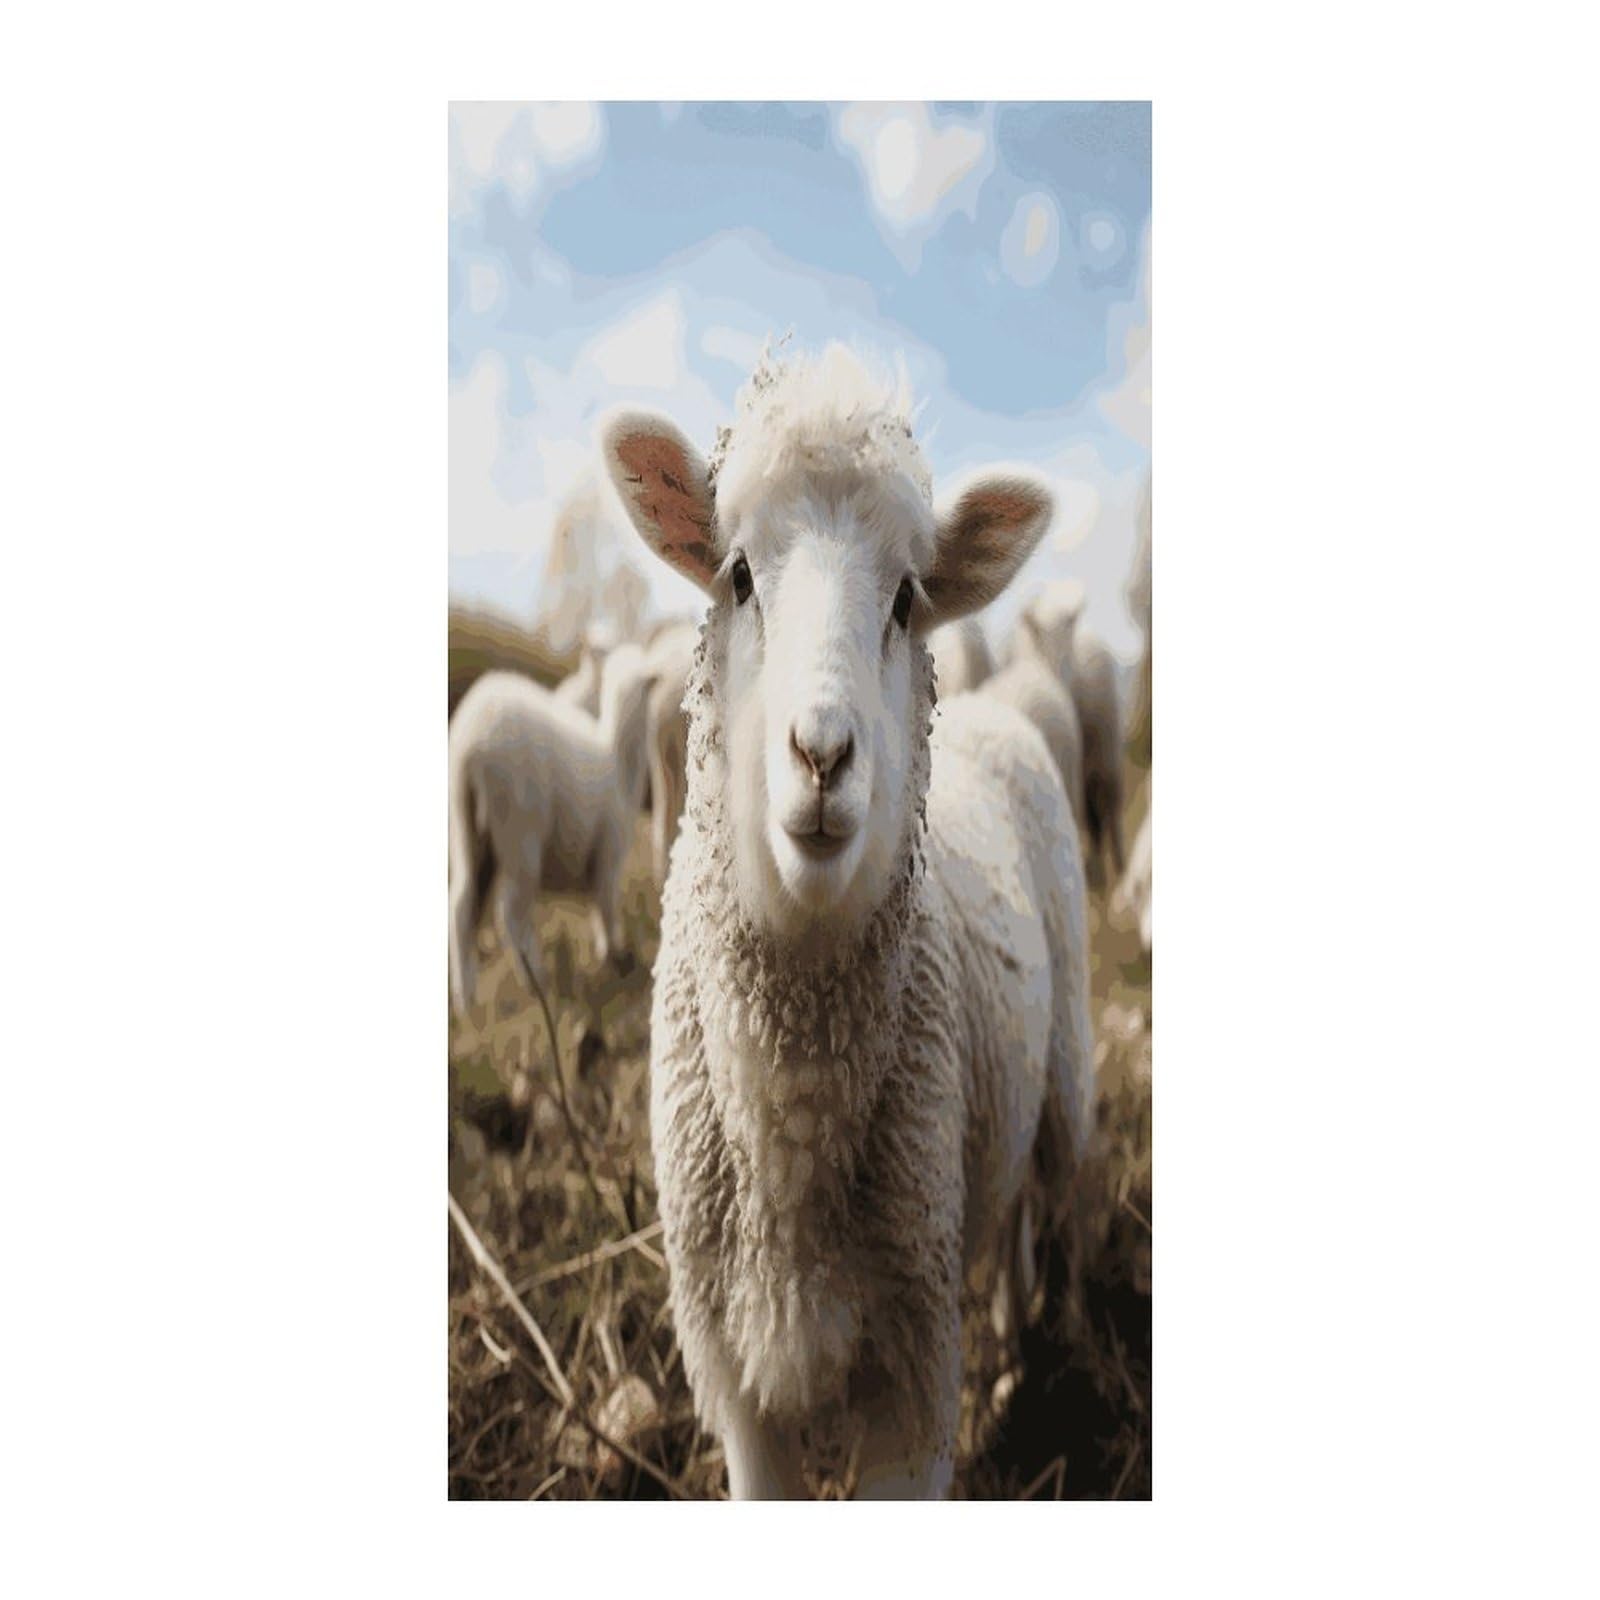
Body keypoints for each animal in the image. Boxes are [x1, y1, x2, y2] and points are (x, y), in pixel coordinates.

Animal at [447, 642, 655, 1020]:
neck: (617, 754)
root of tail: (471, 742)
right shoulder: (608, 850)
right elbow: (606, 905)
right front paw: (615, 957)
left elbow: (597, 906)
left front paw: (608, 955)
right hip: (519, 829)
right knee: (510, 914)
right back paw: (538, 981)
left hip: (468, 832)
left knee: (461, 906)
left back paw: (466, 1002)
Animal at [600, 343, 1095, 1500]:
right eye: (738, 575)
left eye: (908, 597)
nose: (822, 756)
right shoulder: (735, 1379)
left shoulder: (913, 1375)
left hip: (1063, 1080)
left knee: (1040, 1207)